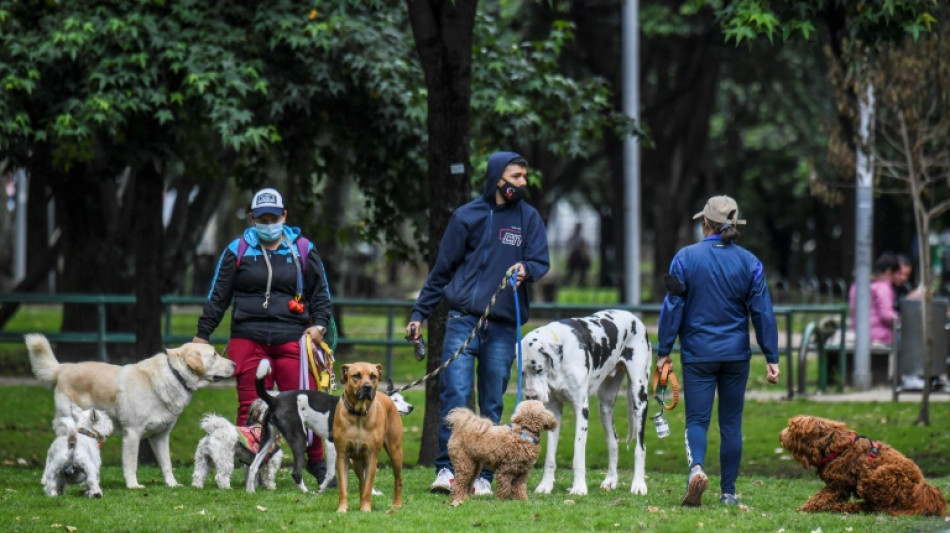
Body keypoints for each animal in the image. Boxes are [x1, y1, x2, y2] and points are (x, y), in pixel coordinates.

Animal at [26, 334, 236, 488]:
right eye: (214, 354)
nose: (234, 364)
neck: (174, 376)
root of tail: (63, 368)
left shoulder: (160, 436)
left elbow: (167, 464)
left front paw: (172, 484)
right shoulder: (133, 434)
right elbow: (131, 464)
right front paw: (133, 486)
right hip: (66, 426)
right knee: (53, 454)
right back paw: (47, 479)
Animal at [332, 362, 404, 512]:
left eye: (373, 376)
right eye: (356, 375)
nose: (367, 387)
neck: (358, 414)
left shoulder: (372, 456)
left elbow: (369, 485)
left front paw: (365, 508)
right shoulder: (342, 455)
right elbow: (344, 487)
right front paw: (342, 509)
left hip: (396, 452)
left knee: (398, 479)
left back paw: (397, 504)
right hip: (357, 461)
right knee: (362, 481)